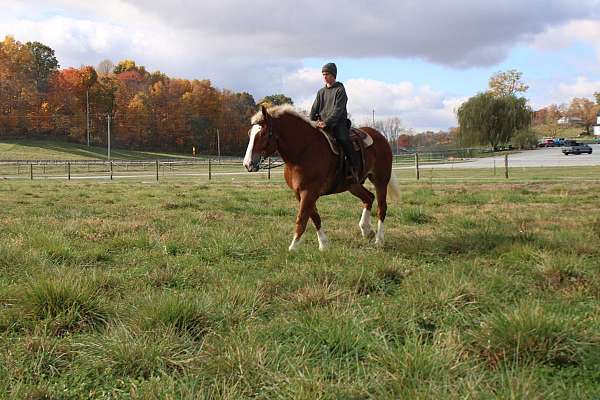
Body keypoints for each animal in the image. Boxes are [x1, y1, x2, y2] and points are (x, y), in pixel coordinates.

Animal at [241, 104, 396, 252]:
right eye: (249, 133)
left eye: (263, 133)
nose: (248, 164)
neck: (303, 151)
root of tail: (381, 137)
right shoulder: (300, 193)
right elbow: (314, 217)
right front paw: (323, 244)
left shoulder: (309, 192)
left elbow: (302, 218)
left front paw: (293, 247)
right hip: (353, 185)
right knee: (369, 198)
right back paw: (366, 230)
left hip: (380, 181)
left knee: (381, 207)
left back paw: (379, 240)